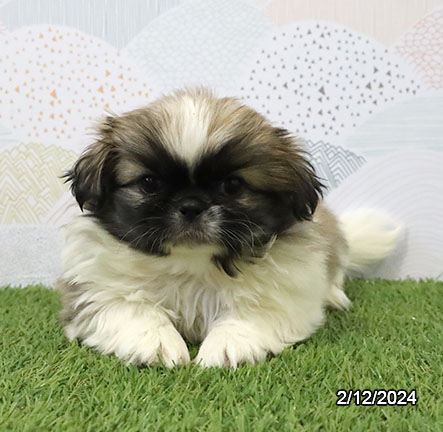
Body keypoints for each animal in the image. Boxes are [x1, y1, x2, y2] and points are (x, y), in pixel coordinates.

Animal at [56, 88, 402, 368]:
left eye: (233, 185)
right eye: (149, 183)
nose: (191, 205)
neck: (191, 266)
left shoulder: (282, 294)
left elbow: (247, 317)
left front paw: (225, 346)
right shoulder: (97, 292)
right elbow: (135, 311)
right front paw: (155, 342)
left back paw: (335, 296)